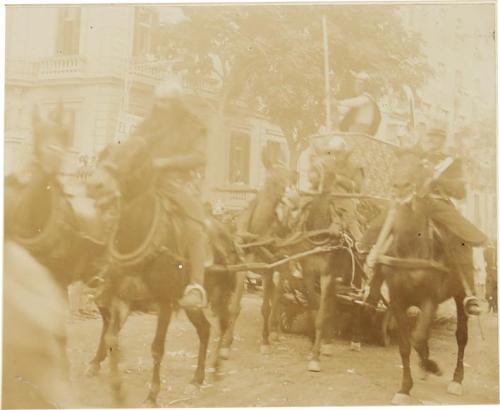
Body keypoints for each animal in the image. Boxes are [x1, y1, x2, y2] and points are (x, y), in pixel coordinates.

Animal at [86, 134, 240, 404]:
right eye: (104, 155)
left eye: (134, 159)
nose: (96, 185)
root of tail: (227, 234)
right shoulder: (121, 298)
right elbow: (111, 336)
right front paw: (117, 387)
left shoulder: (165, 303)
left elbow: (157, 348)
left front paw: (152, 393)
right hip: (191, 305)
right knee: (205, 330)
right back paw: (198, 377)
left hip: (220, 294)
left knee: (224, 323)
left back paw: (218, 366)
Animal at [376, 149, 476, 406]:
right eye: (397, 163)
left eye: (420, 166)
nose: (401, 186)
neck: (411, 248)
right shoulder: (398, 302)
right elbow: (405, 345)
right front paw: (404, 388)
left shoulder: (430, 299)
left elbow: (418, 338)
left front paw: (433, 367)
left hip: (460, 295)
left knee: (461, 337)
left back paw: (456, 380)